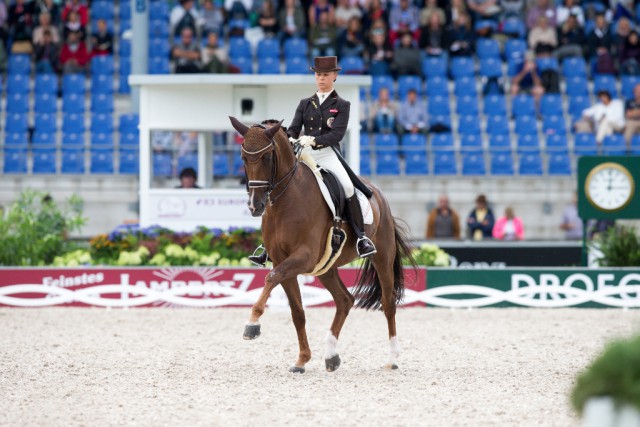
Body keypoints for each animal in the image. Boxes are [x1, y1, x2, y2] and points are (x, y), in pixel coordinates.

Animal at [229, 117, 416, 374]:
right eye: (243, 157)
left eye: (267, 157)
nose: (255, 206)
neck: (286, 200)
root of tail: (379, 194)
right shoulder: (284, 262)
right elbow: (297, 311)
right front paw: (301, 359)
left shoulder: (303, 257)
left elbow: (270, 278)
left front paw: (252, 324)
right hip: (326, 267)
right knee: (345, 300)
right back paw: (331, 356)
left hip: (383, 256)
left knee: (388, 303)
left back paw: (392, 358)